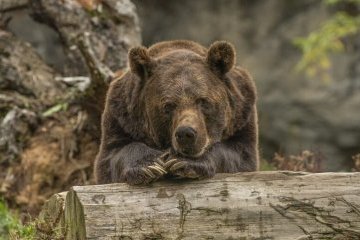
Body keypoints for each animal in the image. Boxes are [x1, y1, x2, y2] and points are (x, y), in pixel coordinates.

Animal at [95, 40, 258, 185]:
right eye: (168, 105)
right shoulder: (121, 117)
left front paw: (183, 162)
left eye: (203, 101)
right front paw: (150, 165)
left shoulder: (242, 115)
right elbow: (113, 155)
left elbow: (239, 155)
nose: (186, 133)